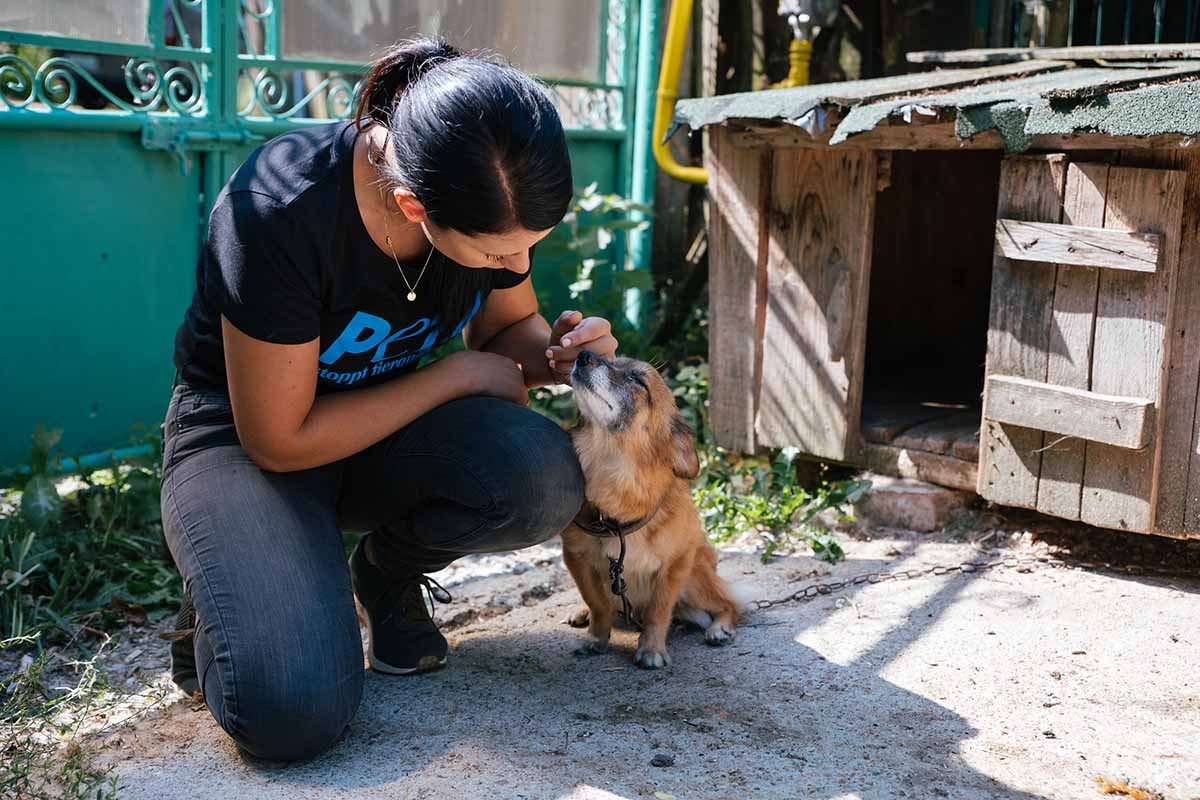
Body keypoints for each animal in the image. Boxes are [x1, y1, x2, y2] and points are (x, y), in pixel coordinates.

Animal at [559, 350, 739, 671]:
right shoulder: (577, 559)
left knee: (730, 604)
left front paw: (652, 650)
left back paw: (720, 628)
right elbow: (598, 603)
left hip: (695, 579)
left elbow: (659, 610)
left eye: (637, 380)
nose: (583, 354)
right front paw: (595, 638)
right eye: (609, 358)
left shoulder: (675, 565)